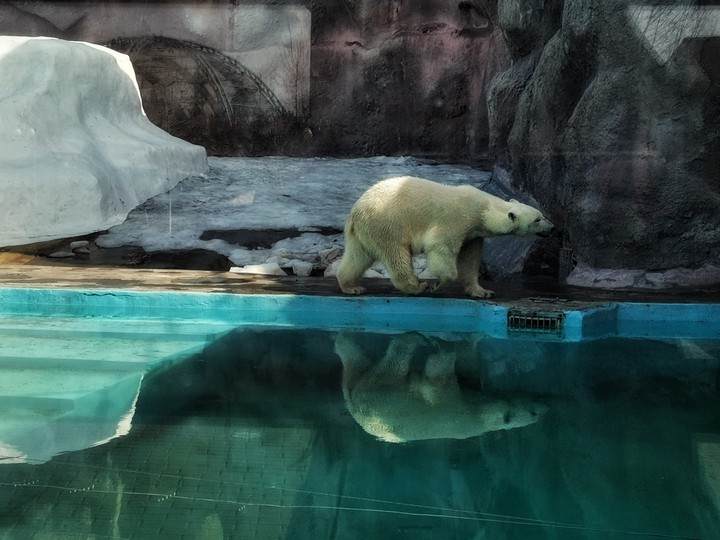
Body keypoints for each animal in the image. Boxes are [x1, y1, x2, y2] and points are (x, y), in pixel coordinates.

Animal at [334, 331, 547, 443]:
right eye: (532, 411)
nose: (543, 409)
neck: (478, 413)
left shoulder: (454, 406)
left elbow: (439, 375)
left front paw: (442, 348)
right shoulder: (460, 400)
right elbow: (458, 370)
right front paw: (466, 341)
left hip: (380, 394)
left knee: (386, 363)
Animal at [336, 176, 555, 298]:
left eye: (543, 215)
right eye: (537, 219)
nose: (552, 228)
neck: (483, 209)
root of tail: (356, 211)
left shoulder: (473, 234)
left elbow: (470, 259)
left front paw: (483, 292)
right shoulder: (457, 219)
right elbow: (441, 247)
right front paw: (437, 284)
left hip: (363, 232)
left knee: (358, 256)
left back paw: (351, 287)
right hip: (387, 224)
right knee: (396, 255)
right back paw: (417, 286)